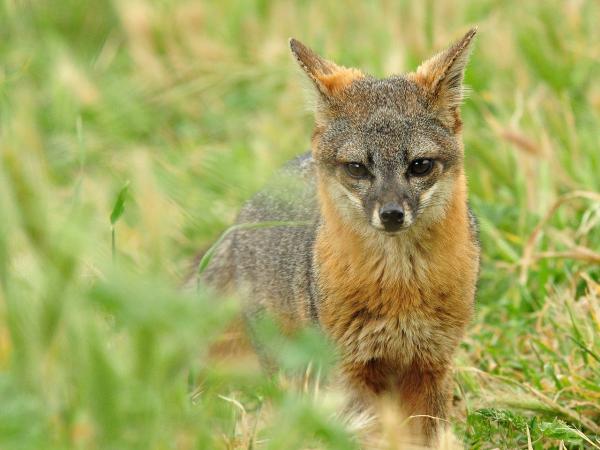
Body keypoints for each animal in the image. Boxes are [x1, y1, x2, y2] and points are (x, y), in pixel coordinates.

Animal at [199, 29, 480, 446]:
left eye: (420, 165)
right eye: (357, 168)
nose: (391, 214)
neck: (400, 288)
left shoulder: (431, 364)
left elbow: (427, 437)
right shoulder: (352, 370)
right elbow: (370, 436)